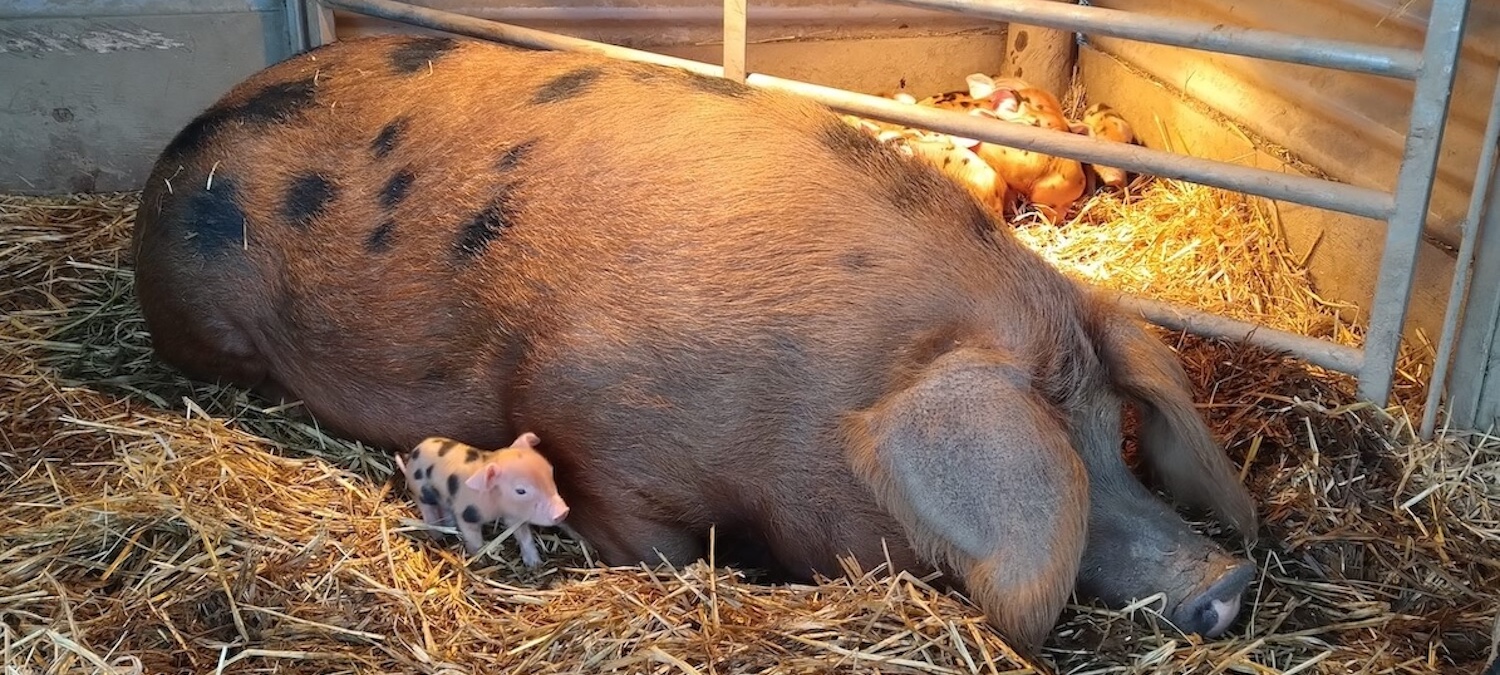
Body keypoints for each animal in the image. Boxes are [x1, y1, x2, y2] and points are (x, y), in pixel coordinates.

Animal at [394, 432, 570, 565]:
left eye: (551, 471)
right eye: (521, 490)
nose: (563, 512)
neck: (496, 506)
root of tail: (414, 453)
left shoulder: (513, 514)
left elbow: (524, 536)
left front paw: (535, 564)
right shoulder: (467, 514)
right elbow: (474, 540)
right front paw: (480, 561)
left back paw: (450, 525)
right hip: (422, 491)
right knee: (428, 511)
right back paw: (438, 535)